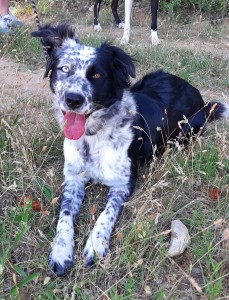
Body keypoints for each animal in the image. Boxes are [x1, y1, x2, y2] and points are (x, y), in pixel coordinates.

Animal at [31, 22, 228, 276]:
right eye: (64, 68)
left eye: (97, 75)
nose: (73, 99)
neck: (95, 136)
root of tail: (200, 98)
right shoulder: (73, 178)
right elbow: (64, 217)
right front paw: (61, 251)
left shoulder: (123, 184)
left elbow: (106, 214)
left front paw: (96, 244)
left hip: (187, 133)